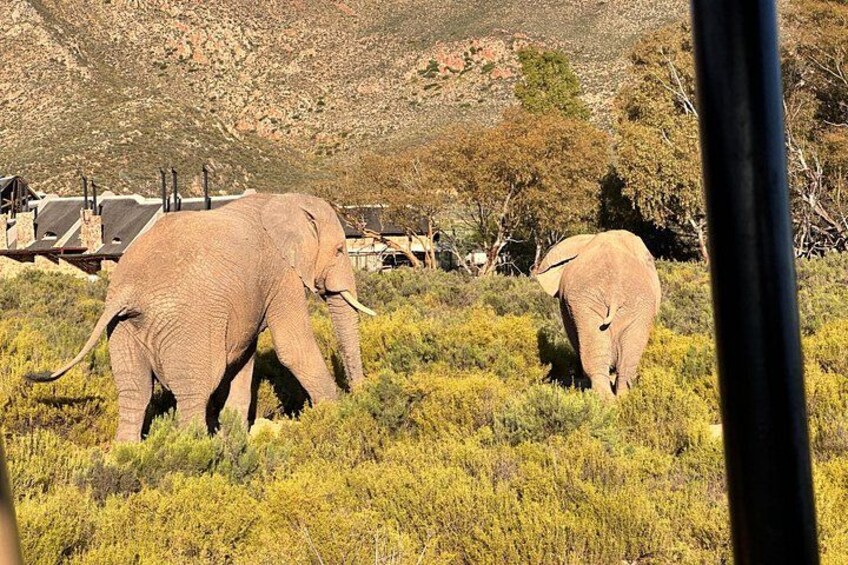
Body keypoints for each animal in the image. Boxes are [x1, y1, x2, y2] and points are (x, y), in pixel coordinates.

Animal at [26, 193, 375, 441]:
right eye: (340, 250)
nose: (360, 395)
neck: (286, 199)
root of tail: (127, 290)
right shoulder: (281, 275)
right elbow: (293, 348)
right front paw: (334, 417)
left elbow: (244, 360)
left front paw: (236, 434)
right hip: (188, 324)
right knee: (194, 390)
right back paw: (194, 451)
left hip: (124, 328)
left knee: (135, 392)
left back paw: (125, 455)